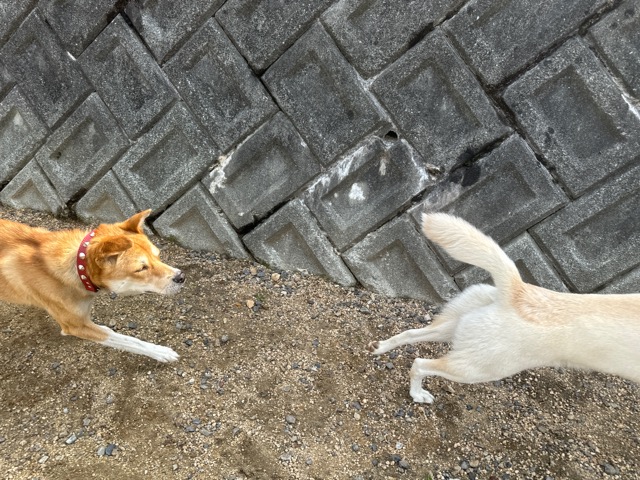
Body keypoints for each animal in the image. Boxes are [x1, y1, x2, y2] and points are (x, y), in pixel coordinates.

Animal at [0, 210, 184, 362]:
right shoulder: (75, 326)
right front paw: (161, 352)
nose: (181, 277)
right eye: (141, 268)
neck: (78, 268)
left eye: (158, 256)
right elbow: (128, 340)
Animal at [368, 213, 640, 403]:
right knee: (420, 364)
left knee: (410, 334)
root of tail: (516, 290)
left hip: (456, 329)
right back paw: (418, 394)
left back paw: (380, 348)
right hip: (481, 368)